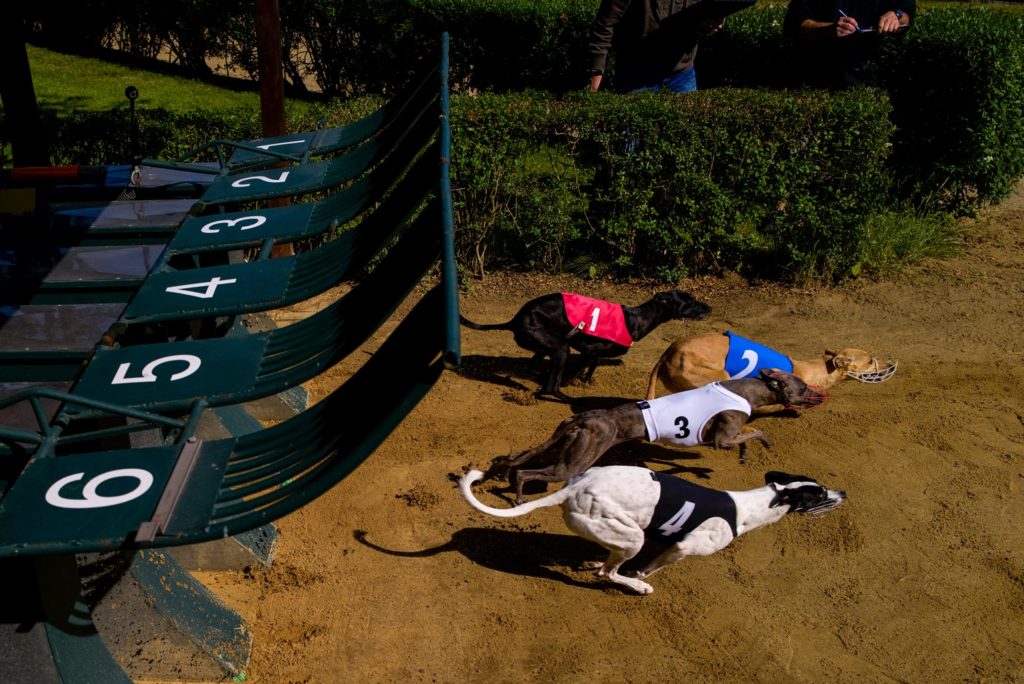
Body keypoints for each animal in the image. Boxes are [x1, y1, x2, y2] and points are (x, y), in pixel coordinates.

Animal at [460, 288, 708, 401]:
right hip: (561, 348)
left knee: (535, 363)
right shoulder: (587, 351)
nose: (709, 308)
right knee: (552, 387)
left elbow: (593, 365)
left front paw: (587, 379)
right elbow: (575, 371)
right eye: (689, 301)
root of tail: (515, 319)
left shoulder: (594, 352)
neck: (637, 319)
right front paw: (575, 381)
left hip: (547, 345)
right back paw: (562, 395)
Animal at [460, 464, 843, 593]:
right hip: (634, 536)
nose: (844, 493)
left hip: (618, 531)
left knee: (607, 560)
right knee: (609, 573)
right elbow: (649, 568)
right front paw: (641, 578)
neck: (747, 508)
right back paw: (634, 586)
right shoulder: (683, 547)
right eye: (820, 494)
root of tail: (575, 486)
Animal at [487, 368, 823, 501]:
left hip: (561, 447)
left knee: (518, 458)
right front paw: (765, 441)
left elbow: (746, 437)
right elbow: (755, 431)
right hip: (573, 463)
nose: (819, 394)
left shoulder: (727, 435)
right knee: (525, 473)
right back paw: (518, 496)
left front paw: (744, 456)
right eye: (804, 386)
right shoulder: (721, 438)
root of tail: (582, 418)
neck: (748, 389)